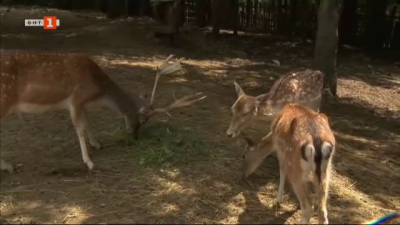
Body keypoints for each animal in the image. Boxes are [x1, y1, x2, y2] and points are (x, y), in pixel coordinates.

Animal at [0, 51, 206, 172]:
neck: (98, 90)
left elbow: (88, 122)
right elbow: (80, 128)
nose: (135, 137)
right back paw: (7, 166)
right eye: (143, 120)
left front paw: (96, 144)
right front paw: (89, 161)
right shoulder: (77, 99)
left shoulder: (82, 103)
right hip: (4, 99)